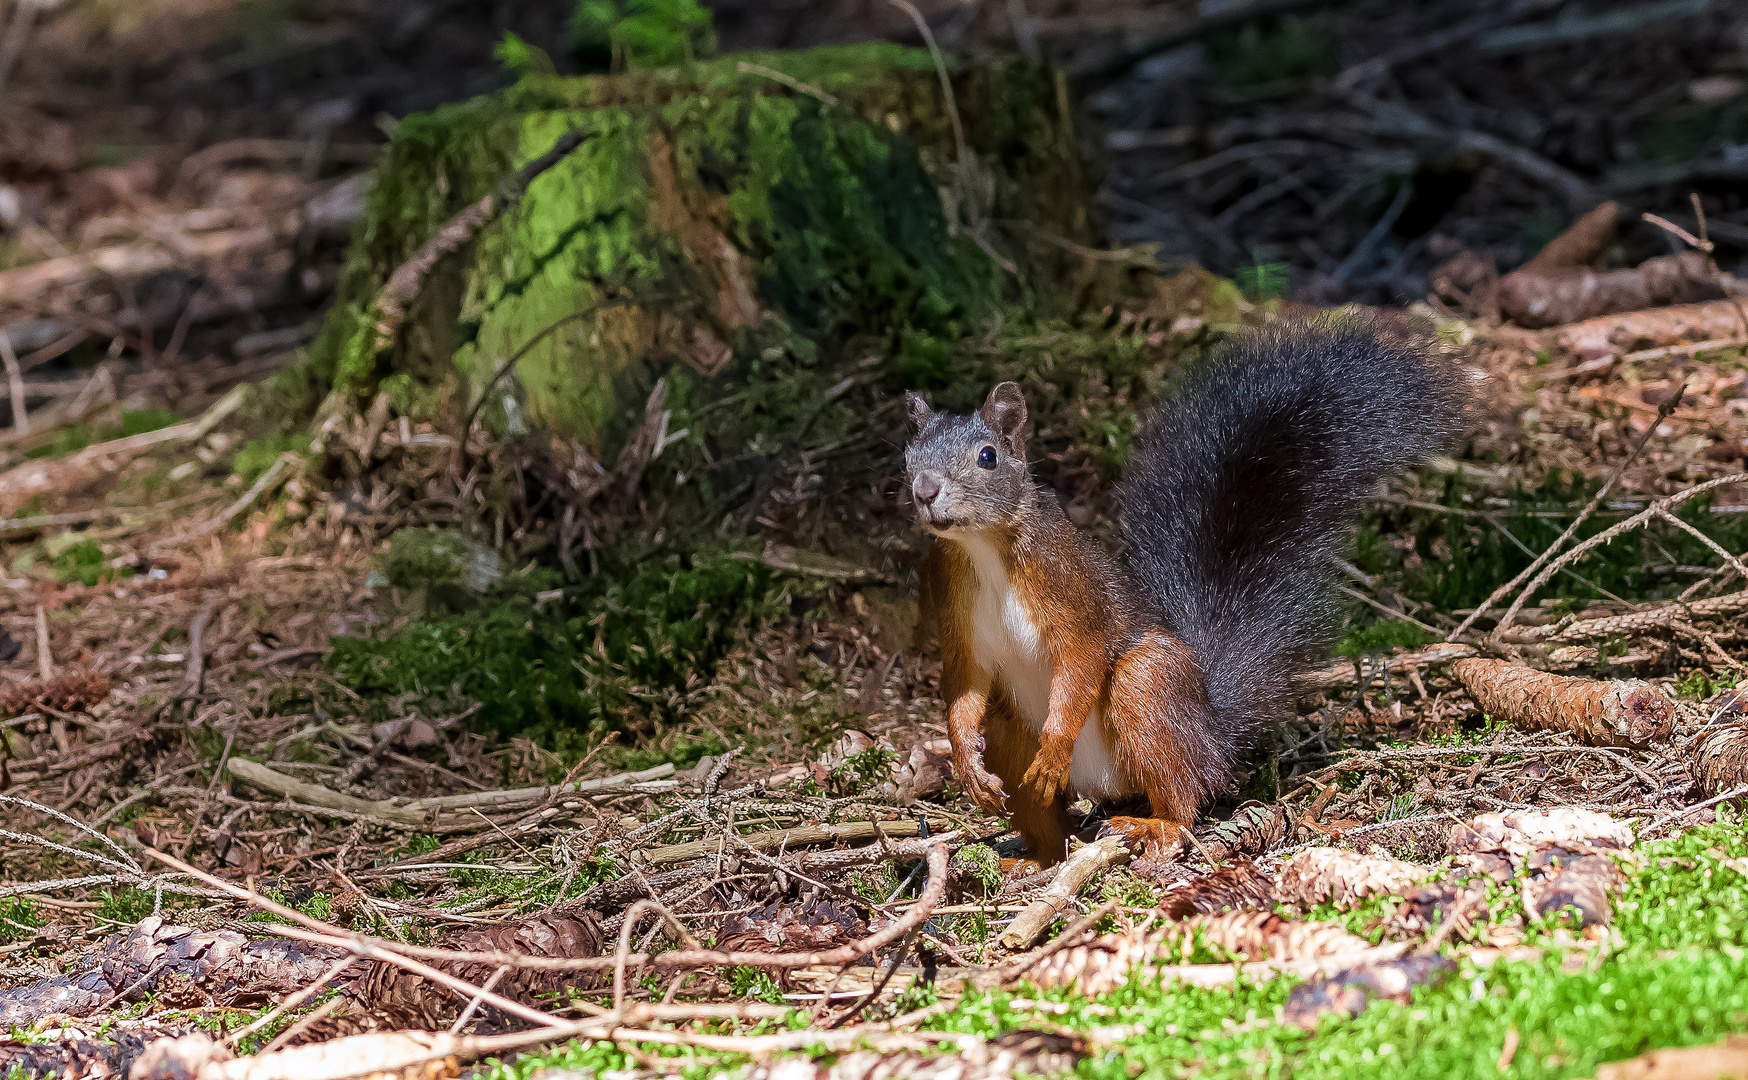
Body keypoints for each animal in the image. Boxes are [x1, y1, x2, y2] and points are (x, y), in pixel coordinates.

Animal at [908, 311, 1468, 856]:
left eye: (987, 456)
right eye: (909, 456)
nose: (924, 491)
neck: (983, 546)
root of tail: (1210, 736)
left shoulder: (1069, 589)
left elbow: (1081, 659)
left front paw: (1053, 749)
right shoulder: (953, 605)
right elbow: (964, 683)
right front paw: (966, 761)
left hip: (1150, 686)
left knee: (1181, 787)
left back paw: (1156, 825)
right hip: (1013, 731)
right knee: (1045, 814)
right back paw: (1038, 857)